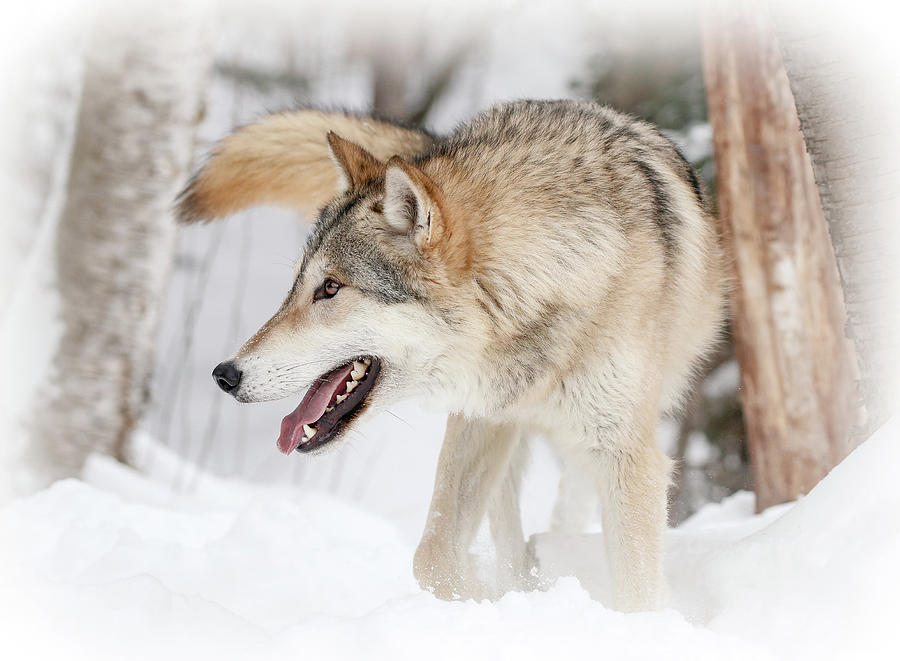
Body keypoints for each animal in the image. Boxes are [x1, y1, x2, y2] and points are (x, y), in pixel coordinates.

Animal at [178, 100, 732, 612]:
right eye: (295, 287)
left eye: (330, 288)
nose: (224, 375)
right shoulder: (477, 418)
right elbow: (432, 557)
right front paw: (480, 602)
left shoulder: (627, 455)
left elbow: (636, 589)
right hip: (504, 432)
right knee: (511, 532)